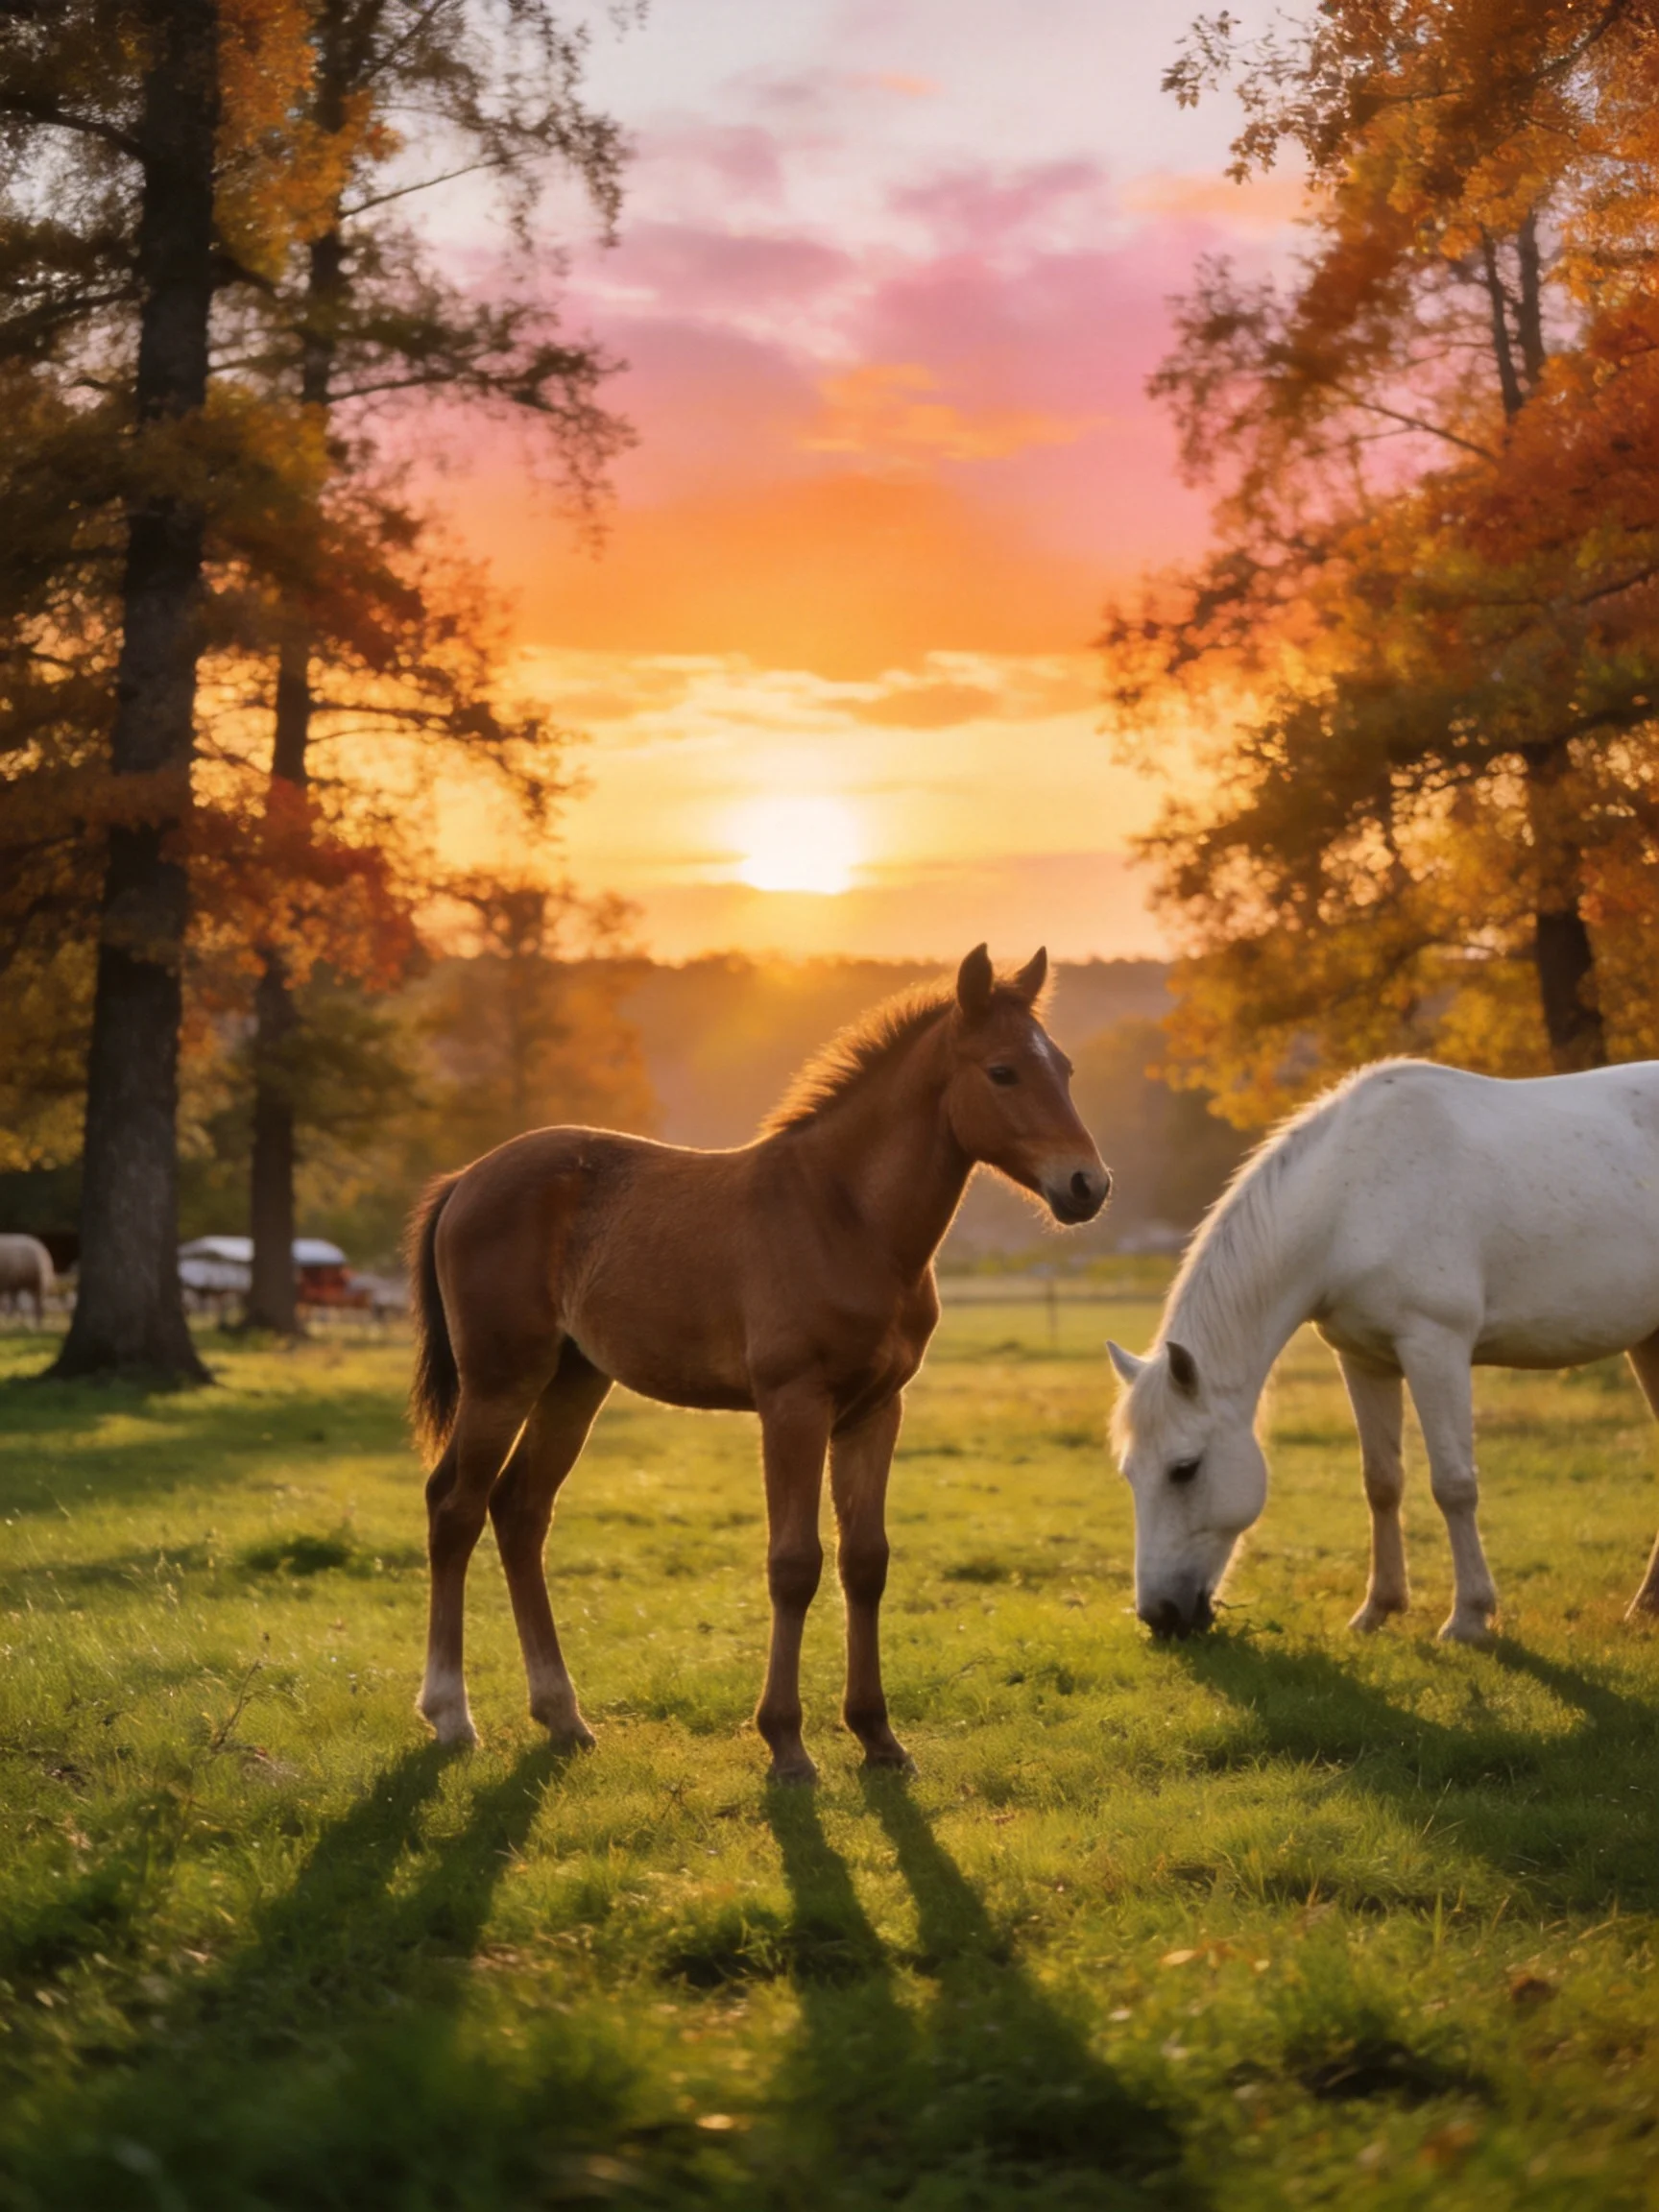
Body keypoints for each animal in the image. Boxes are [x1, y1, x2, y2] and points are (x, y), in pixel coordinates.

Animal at [408, 945, 1109, 1782]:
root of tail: (465, 1181)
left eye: (1065, 1067)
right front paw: (786, 1743)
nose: (1088, 1185)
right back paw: (451, 1717)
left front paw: (878, 1736)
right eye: (1003, 1071)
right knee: (455, 1507)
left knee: (520, 1510)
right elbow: (794, 1562)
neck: (848, 1218)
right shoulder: (792, 1404)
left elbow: (865, 1561)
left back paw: (563, 1716)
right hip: (501, 1378)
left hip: (574, 1381)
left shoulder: (877, 1409)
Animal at [1108, 1058, 1659, 1645]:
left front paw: (1468, 1617)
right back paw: (1645, 1605)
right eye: (1129, 1473)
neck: (1348, 1203)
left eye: (1184, 1469)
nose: (1159, 1616)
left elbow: (1454, 1484)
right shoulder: (1363, 1360)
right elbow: (1382, 1482)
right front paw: (1379, 1608)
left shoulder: (1435, 1347)